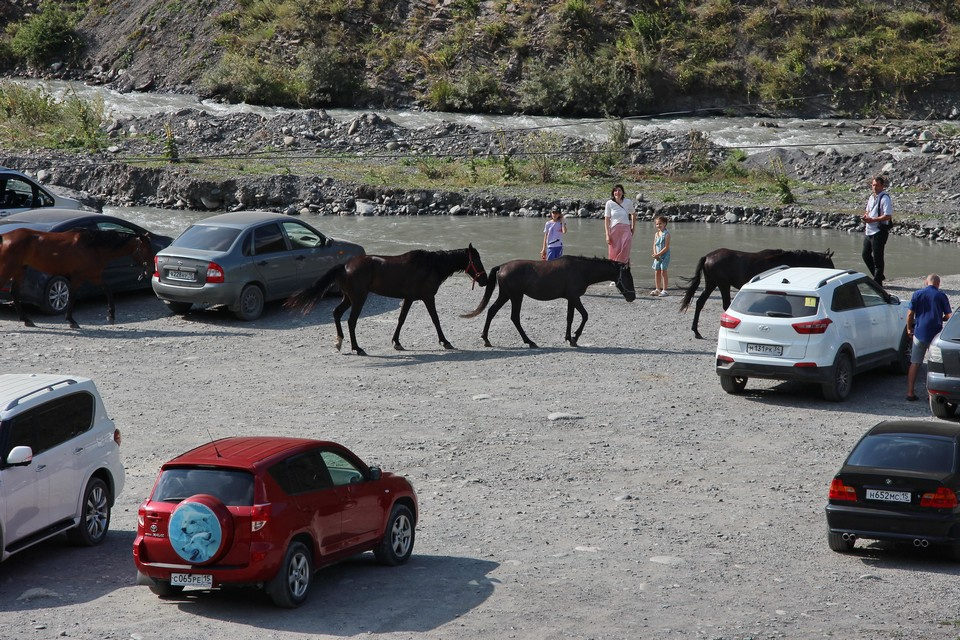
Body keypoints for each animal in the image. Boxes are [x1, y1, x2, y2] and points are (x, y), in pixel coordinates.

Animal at [0, 228, 153, 328]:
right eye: (146, 249)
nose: (151, 268)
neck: (94, 247)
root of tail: (4, 237)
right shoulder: (78, 278)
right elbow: (72, 297)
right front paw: (71, 321)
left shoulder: (95, 276)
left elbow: (108, 291)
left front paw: (111, 316)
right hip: (8, 270)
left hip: (19, 271)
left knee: (15, 294)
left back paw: (26, 320)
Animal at [282, 245, 484, 356]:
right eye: (476, 260)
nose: (484, 280)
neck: (431, 265)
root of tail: (344, 266)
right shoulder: (427, 297)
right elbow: (435, 320)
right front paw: (445, 341)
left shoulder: (409, 298)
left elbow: (401, 320)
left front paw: (396, 342)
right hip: (358, 299)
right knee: (351, 321)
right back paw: (357, 348)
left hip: (349, 298)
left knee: (337, 313)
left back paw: (339, 342)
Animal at [462, 255, 632, 348]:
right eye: (628, 277)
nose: (632, 296)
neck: (581, 269)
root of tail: (502, 267)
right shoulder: (575, 297)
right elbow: (585, 316)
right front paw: (575, 337)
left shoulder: (571, 299)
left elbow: (570, 318)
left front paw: (568, 337)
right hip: (516, 296)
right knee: (514, 317)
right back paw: (529, 341)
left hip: (506, 295)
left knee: (492, 311)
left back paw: (486, 339)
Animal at [680, 248, 836, 340]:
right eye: (829, 264)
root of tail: (707, 256)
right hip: (722, 284)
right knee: (724, 305)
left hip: (712, 283)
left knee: (700, 302)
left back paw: (696, 331)